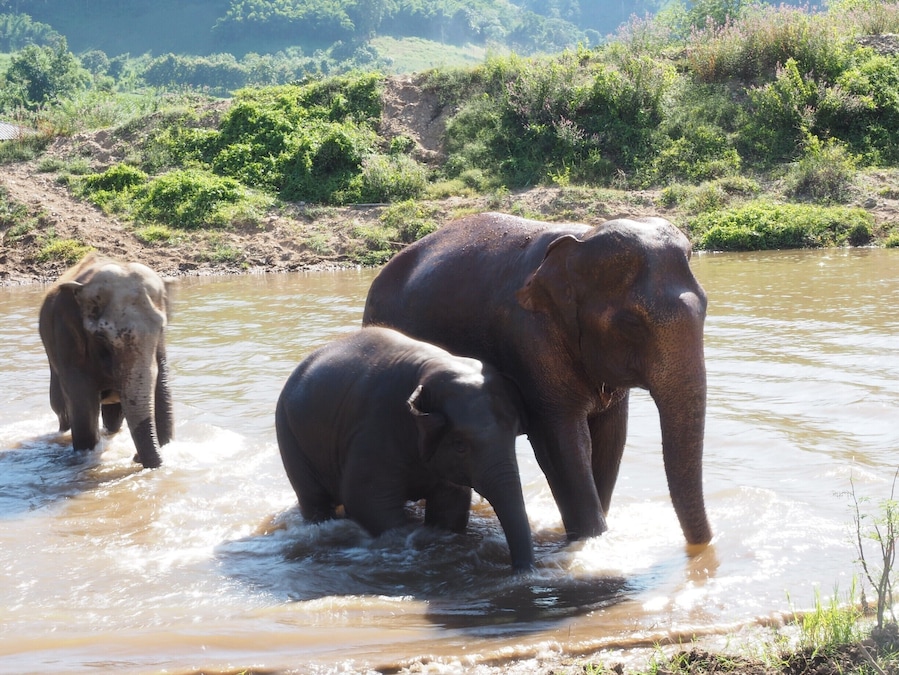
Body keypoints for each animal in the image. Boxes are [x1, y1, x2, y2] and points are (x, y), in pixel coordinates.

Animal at [38, 253, 174, 468]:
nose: (135, 457)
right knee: (60, 408)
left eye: (161, 329)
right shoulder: (67, 338)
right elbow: (82, 405)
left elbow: (162, 389)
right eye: (100, 336)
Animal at [274, 326, 534, 572]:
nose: (521, 570)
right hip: (288, 433)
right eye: (460, 445)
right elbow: (366, 501)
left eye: (513, 437)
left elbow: (450, 504)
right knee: (314, 499)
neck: (429, 367)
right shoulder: (374, 429)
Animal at [362, 212, 712, 547]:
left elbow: (611, 438)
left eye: (705, 307)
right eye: (631, 323)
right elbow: (562, 442)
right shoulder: (529, 339)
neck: (580, 240)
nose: (703, 548)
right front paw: (590, 541)